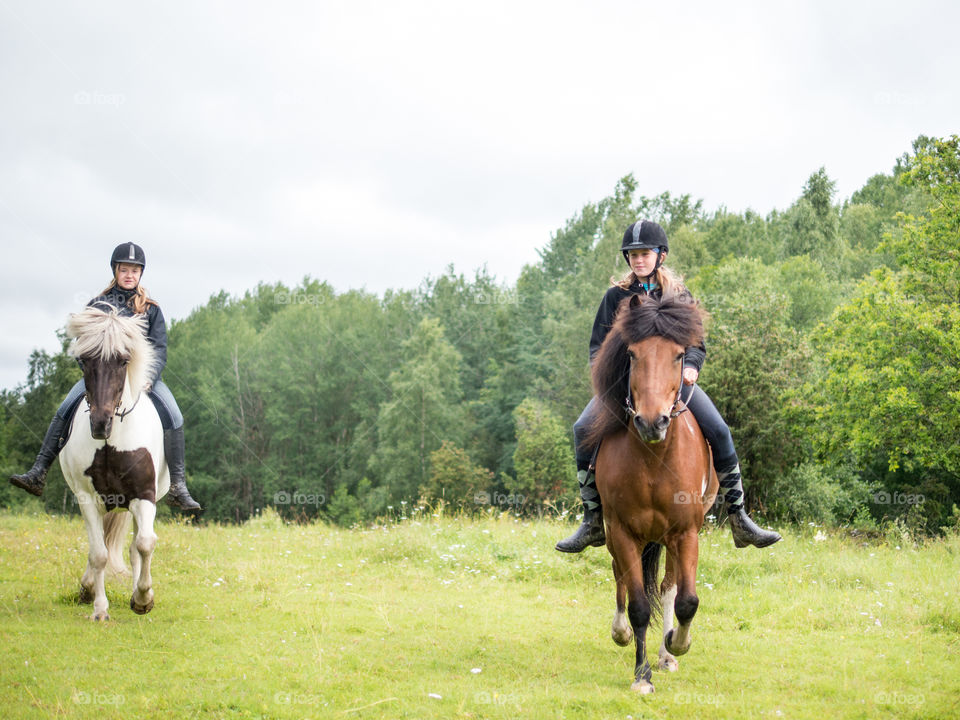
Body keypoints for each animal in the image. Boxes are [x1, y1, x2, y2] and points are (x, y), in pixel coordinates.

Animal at [58, 304, 170, 620]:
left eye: (123, 361)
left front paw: (143, 599)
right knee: (101, 545)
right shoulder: (87, 498)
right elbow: (98, 554)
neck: (111, 441)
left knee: (134, 546)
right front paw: (99, 609)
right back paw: (87, 588)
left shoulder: (144, 495)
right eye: (84, 361)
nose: (100, 423)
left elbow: (144, 544)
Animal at [584, 296, 720, 696]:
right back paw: (622, 634)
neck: (653, 459)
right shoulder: (622, 531)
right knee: (620, 577)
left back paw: (666, 654)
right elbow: (639, 606)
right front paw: (641, 676)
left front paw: (677, 644)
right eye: (631, 354)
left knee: (669, 587)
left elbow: (686, 600)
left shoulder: (686, 533)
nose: (651, 422)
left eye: (678, 355)